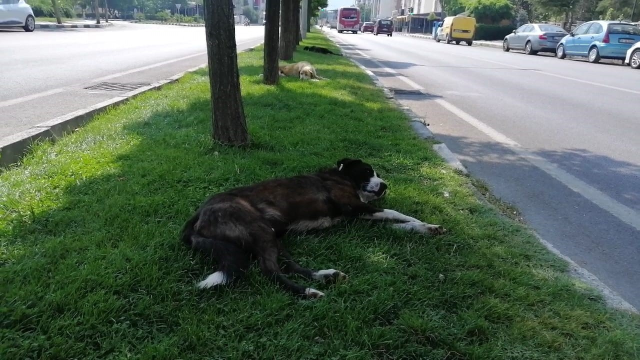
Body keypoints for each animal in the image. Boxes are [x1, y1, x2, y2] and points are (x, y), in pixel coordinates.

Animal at [181, 158, 444, 298]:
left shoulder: (360, 215)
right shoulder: (355, 207)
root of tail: (196, 216)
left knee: (289, 265)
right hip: (259, 229)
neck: (342, 178)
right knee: (271, 271)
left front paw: (425, 227)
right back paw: (309, 292)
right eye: (368, 171)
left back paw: (326, 276)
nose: (385, 185)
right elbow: (395, 213)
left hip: (270, 234)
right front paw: (420, 222)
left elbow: (395, 221)